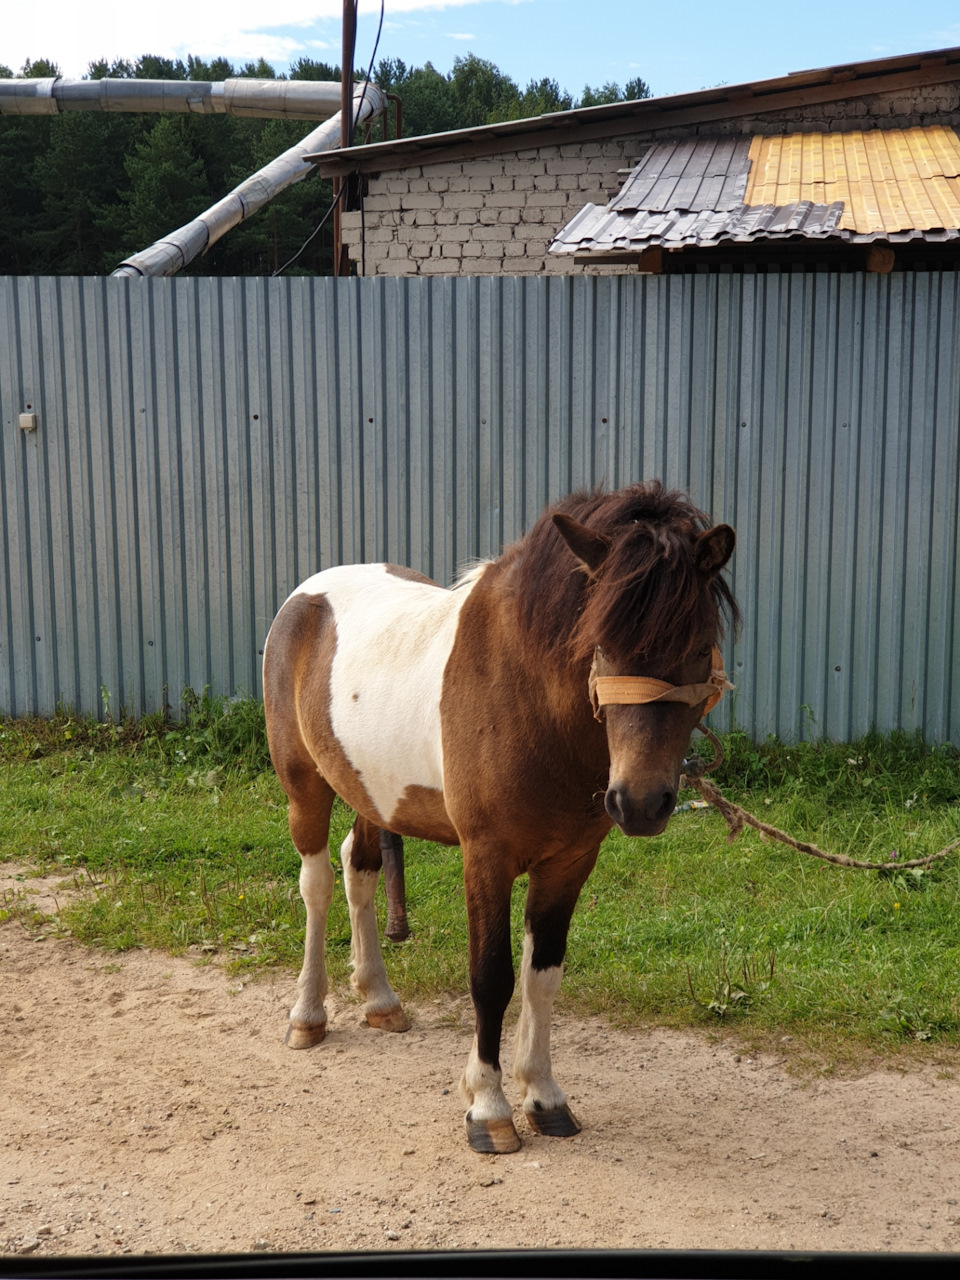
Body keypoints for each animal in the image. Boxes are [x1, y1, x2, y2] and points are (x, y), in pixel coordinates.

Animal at [261, 481, 737, 1162]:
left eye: (699, 647)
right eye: (601, 644)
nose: (640, 803)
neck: (526, 693)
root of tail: (306, 596)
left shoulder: (568, 863)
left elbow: (544, 976)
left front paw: (544, 1097)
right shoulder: (485, 857)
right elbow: (491, 978)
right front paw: (488, 1109)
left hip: (370, 790)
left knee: (361, 869)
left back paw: (379, 999)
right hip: (305, 787)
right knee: (318, 885)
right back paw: (308, 1016)